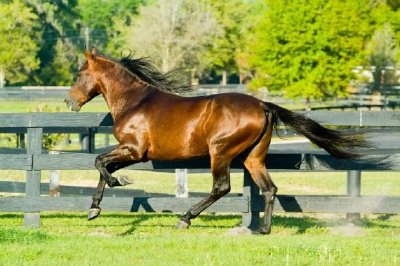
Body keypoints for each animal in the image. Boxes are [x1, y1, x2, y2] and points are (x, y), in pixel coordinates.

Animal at [65, 48, 368, 235]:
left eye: (79, 74)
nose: (69, 102)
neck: (135, 101)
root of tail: (262, 105)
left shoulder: (135, 150)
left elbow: (100, 163)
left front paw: (119, 184)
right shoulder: (131, 152)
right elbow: (102, 168)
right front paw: (94, 209)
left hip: (220, 152)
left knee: (221, 187)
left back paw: (185, 219)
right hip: (253, 157)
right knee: (269, 189)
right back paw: (263, 229)